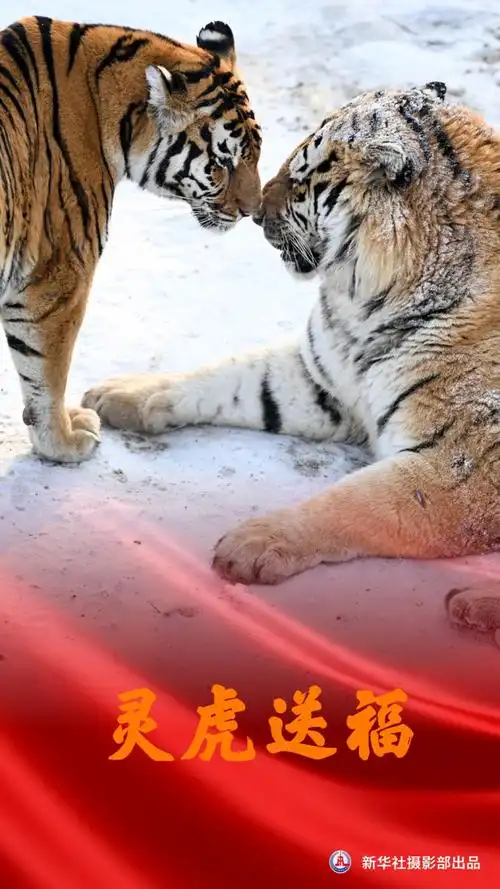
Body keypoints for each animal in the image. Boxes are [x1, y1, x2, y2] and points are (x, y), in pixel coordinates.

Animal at [0, 17, 261, 463]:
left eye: (256, 154)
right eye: (222, 162)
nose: (252, 210)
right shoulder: (55, 280)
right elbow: (46, 376)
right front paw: (63, 442)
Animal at [83, 81, 500, 642]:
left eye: (302, 181)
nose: (256, 213)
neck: (367, 302)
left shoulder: (460, 468)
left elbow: (356, 502)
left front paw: (253, 544)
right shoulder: (320, 378)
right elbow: (228, 377)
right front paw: (119, 392)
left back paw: (473, 604)